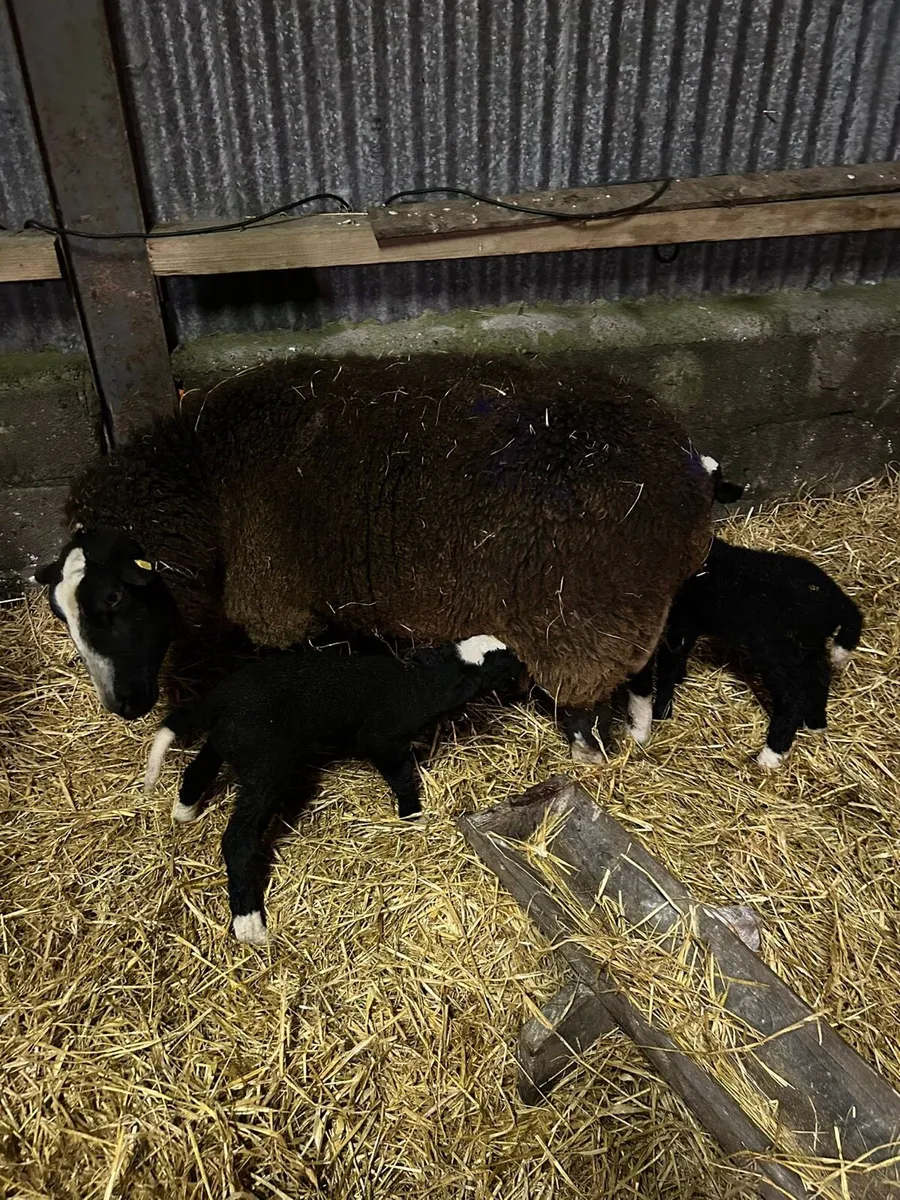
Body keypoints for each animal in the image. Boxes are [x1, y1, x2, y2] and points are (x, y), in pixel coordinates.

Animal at [34, 354, 723, 761]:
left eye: (115, 598)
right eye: (61, 616)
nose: (123, 707)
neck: (205, 482)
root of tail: (687, 480)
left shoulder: (278, 609)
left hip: (582, 623)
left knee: (582, 703)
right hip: (633, 611)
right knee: (641, 671)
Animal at [143, 634, 523, 944]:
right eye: (502, 663)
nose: (523, 667)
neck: (420, 685)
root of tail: (218, 700)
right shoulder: (381, 741)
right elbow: (401, 775)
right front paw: (412, 815)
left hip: (225, 741)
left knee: (197, 771)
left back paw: (184, 812)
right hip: (266, 764)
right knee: (238, 838)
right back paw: (250, 926)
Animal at [625, 537, 863, 767]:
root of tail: (839, 602)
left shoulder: (678, 624)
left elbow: (668, 666)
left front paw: (661, 712)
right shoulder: (687, 623)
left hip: (778, 653)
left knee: (792, 697)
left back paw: (771, 755)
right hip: (807, 650)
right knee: (820, 677)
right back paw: (815, 723)